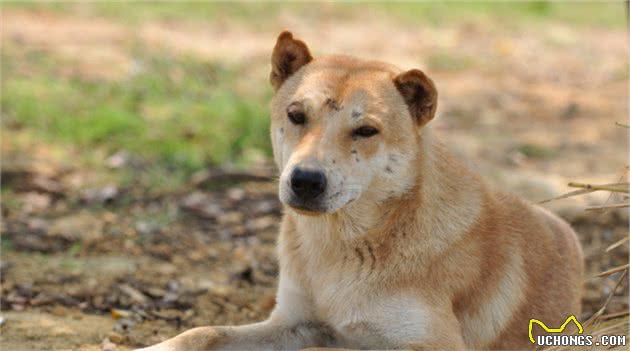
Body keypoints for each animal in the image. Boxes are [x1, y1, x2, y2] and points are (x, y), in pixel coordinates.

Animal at [139, 31, 588, 351]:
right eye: (296, 115)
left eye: (366, 130)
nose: (305, 180)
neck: (341, 245)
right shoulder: (292, 322)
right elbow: (202, 332)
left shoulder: (433, 344)